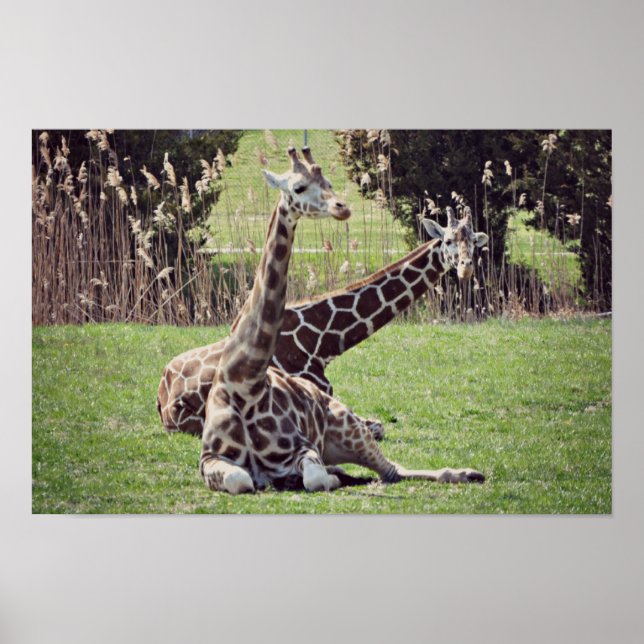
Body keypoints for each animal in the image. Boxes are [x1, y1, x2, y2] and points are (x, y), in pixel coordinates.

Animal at [157, 204, 488, 438]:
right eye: (448, 240)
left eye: (474, 242)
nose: (466, 268)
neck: (323, 342)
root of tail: (163, 399)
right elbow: (373, 425)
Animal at [198, 148, 484, 494]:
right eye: (448, 241)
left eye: (475, 242)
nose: (466, 268)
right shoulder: (210, 458)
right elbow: (240, 478)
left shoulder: (305, 442)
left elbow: (315, 475)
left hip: (347, 427)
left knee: (391, 469)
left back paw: (466, 473)